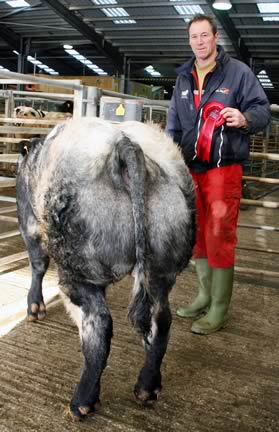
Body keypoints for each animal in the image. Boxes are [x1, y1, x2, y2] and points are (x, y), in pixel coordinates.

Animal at [16, 117, 196, 418]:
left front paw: (34, 308)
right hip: (162, 269)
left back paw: (83, 401)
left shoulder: (30, 225)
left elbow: (38, 265)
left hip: (79, 271)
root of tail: (124, 145)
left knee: (98, 325)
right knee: (160, 319)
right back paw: (147, 387)